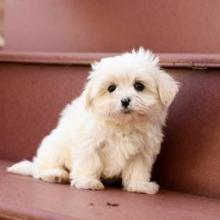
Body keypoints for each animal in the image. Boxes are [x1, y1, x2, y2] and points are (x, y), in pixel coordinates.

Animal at [7, 48, 179, 194]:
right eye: (111, 88)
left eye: (139, 86)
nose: (125, 100)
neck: (123, 124)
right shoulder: (88, 143)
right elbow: (89, 161)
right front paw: (87, 182)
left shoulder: (143, 150)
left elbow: (138, 168)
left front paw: (139, 185)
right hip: (54, 148)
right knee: (40, 169)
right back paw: (56, 174)